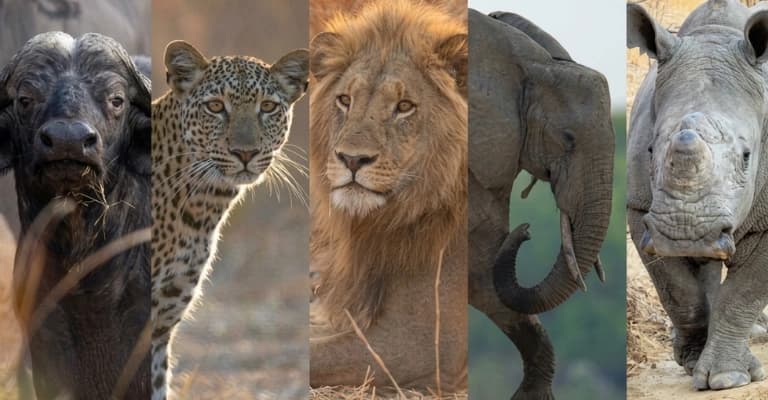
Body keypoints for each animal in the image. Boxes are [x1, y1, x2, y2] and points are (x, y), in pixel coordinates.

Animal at [627, 0, 768, 391]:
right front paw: (692, 363)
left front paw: (728, 378)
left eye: (747, 156)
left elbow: (744, 293)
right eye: (649, 150)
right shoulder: (640, 208)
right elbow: (678, 291)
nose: (685, 232)